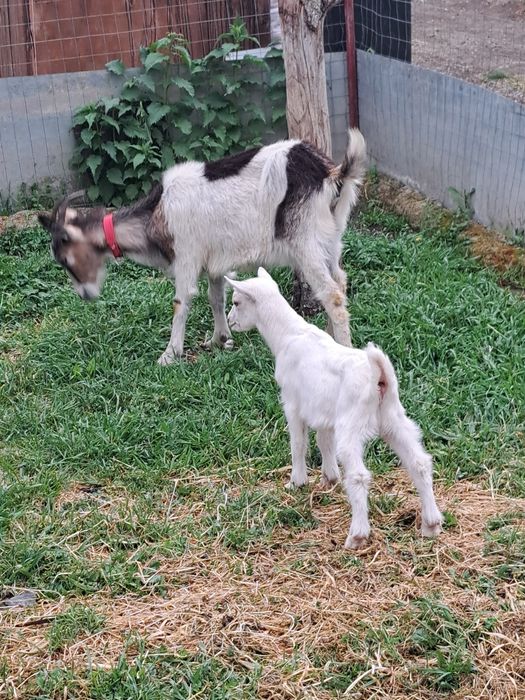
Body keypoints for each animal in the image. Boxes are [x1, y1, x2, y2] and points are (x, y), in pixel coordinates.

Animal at [38, 130, 366, 364]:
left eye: (65, 259)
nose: (86, 295)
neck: (158, 213)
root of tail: (331, 175)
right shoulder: (215, 262)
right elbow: (216, 298)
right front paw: (220, 340)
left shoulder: (187, 255)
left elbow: (181, 302)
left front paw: (169, 355)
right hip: (330, 241)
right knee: (340, 281)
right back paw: (329, 339)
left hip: (305, 242)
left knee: (332, 294)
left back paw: (345, 348)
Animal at [226, 268, 443, 549]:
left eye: (236, 302)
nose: (230, 321)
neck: (288, 334)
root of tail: (380, 376)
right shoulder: (323, 411)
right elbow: (323, 440)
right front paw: (329, 478)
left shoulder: (292, 402)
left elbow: (298, 443)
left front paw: (297, 482)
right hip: (394, 419)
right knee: (419, 462)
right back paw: (431, 524)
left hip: (352, 426)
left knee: (359, 475)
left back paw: (357, 536)